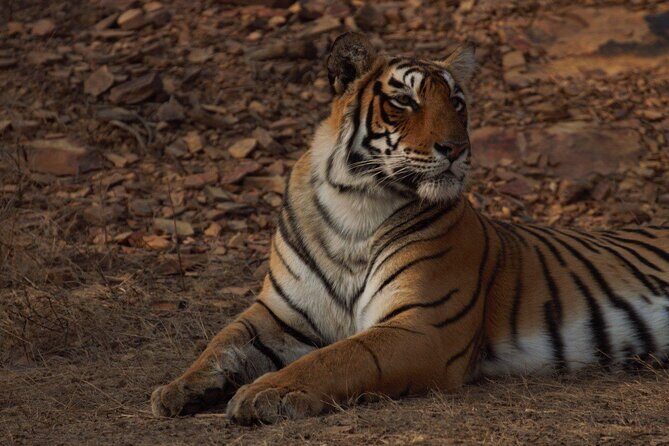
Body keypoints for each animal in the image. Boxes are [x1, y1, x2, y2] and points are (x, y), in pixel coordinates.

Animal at [151, 32, 669, 425]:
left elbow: (338, 357)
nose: (456, 149)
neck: (355, 206)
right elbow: (224, 341)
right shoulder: (281, 313)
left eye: (457, 103)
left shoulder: (421, 325)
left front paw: (266, 393)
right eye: (405, 100)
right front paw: (177, 389)